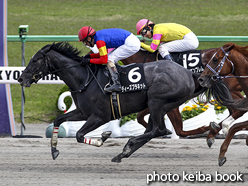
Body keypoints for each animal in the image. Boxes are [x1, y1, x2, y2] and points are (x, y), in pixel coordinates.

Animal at [17, 41, 240, 161]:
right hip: (159, 106)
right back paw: (124, 152)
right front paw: (54, 150)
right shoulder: (83, 112)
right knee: (155, 130)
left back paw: (128, 145)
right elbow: (58, 121)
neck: (84, 79)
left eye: (35, 60)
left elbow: (80, 135)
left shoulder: (99, 116)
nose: (21, 78)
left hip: (158, 102)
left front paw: (103, 137)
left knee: (160, 130)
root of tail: (189, 73)